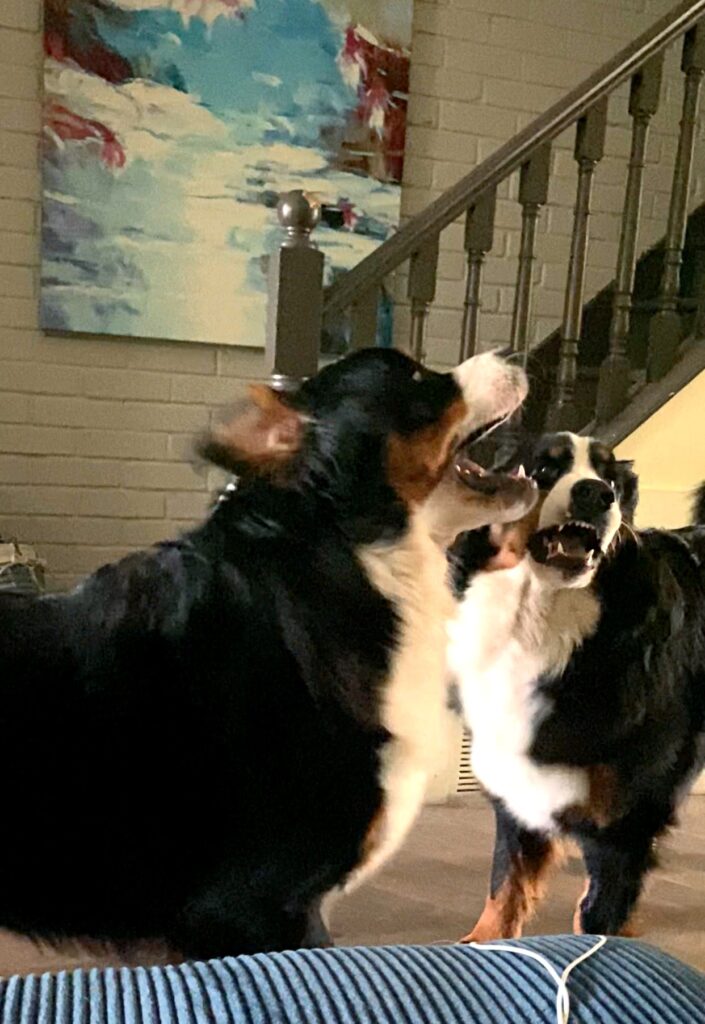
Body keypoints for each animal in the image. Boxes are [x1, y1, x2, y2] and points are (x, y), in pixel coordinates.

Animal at [450, 432, 705, 937]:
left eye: (611, 480)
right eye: (544, 469)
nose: (595, 494)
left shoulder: (623, 828)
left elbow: (597, 917)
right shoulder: (518, 790)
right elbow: (502, 889)